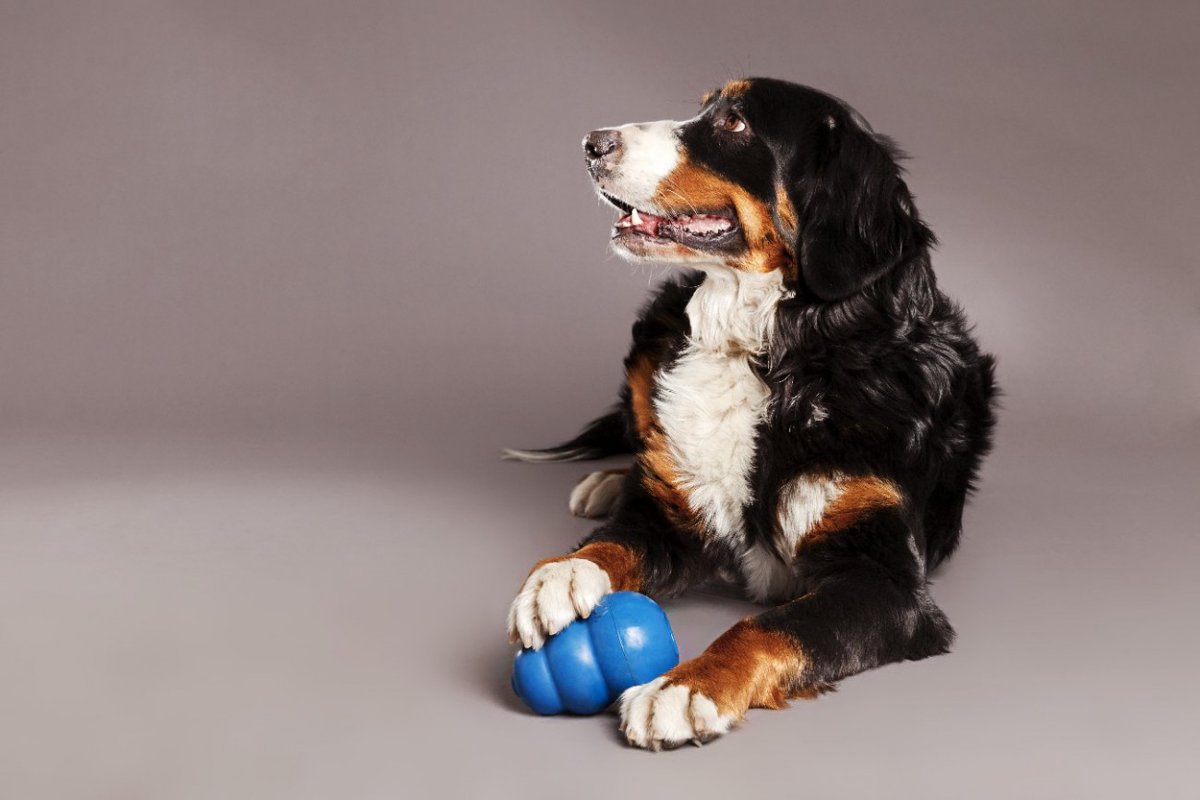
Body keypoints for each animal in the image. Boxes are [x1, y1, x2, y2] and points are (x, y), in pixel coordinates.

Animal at [501, 77, 998, 748]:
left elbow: (771, 628)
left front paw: (685, 687)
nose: (592, 142)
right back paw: (611, 481)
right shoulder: (672, 520)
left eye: (734, 123)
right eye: (704, 107)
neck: (769, 355)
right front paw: (559, 576)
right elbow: (613, 544)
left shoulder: (884, 579)